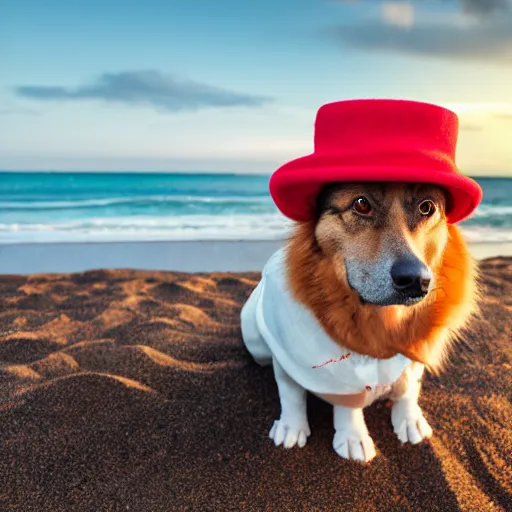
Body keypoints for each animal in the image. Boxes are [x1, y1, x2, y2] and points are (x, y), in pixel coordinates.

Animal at [242, 181, 478, 464]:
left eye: (427, 207)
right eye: (361, 204)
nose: (416, 281)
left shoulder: (416, 347)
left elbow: (410, 384)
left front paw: (409, 419)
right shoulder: (293, 352)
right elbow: (294, 392)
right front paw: (301, 428)